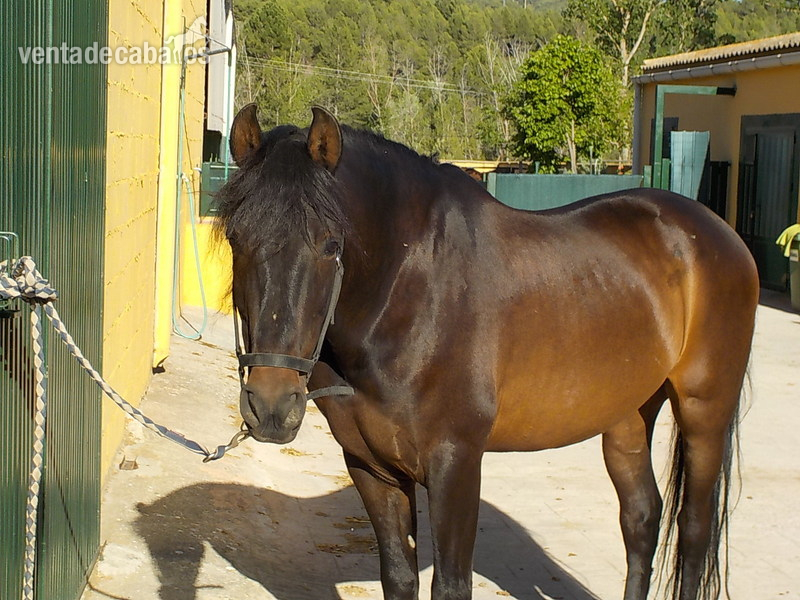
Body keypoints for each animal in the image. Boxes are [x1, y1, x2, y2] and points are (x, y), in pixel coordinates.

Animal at [215, 104, 759, 600]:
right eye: (236, 239)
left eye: (331, 244)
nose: (271, 406)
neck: (410, 289)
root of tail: (715, 232)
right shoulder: (371, 467)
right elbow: (399, 578)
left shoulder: (456, 463)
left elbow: (452, 585)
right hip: (627, 414)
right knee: (642, 518)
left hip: (704, 411)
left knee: (693, 531)